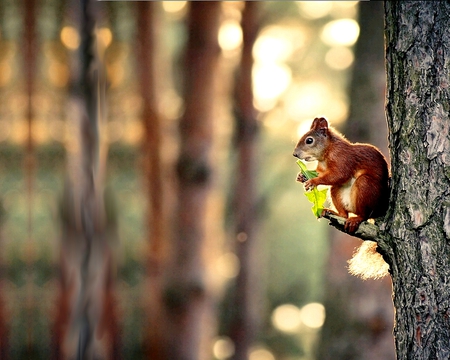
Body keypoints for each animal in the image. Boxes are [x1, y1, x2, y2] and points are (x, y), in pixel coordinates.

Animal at [292, 116, 390, 280]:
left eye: (309, 140)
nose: (295, 154)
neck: (326, 153)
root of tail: (380, 209)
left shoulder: (343, 159)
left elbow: (338, 175)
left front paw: (313, 181)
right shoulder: (322, 168)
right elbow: (322, 174)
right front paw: (302, 176)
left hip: (365, 187)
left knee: (364, 214)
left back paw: (356, 219)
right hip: (337, 191)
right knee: (343, 211)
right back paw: (333, 213)